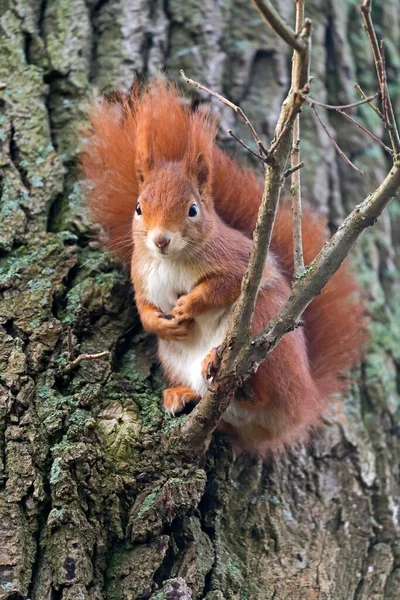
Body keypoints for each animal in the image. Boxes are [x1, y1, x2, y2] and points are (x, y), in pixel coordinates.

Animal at [83, 81, 368, 454]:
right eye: (138, 208)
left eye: (192, 209)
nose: (160, 240)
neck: (171, 261)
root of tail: (304, 403)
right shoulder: (141, 275)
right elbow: (143, 306)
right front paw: (162, 322)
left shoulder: (238, 260)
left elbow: (225, 286)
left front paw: (189, 304)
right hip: (174, 359)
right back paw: (181, 394)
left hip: (265, 330)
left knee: (263, 392)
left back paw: (231, 375)